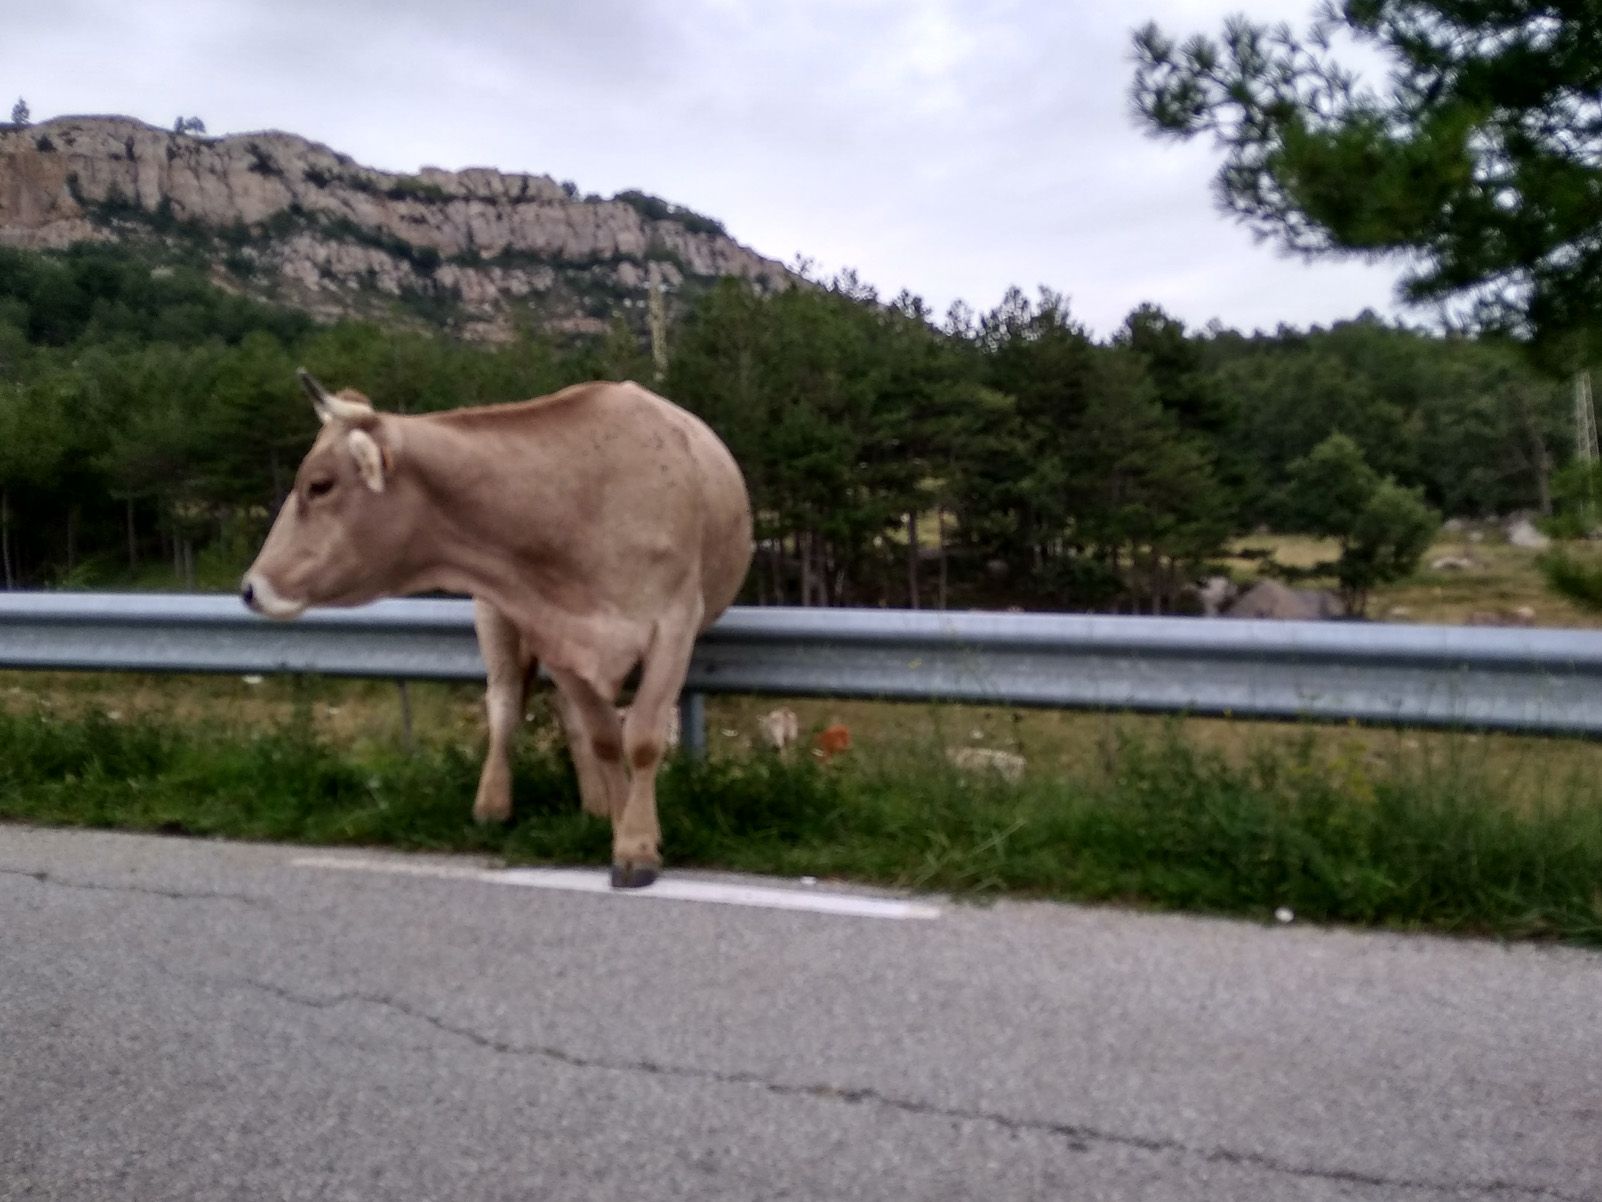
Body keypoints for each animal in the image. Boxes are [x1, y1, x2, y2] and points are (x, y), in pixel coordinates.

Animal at [245, 371, 756, 891]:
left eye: (319, 485)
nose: (250, 588)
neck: (575, 504)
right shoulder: (554, 634)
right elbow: (604, 738)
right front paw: (623, 830)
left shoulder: (673, 625)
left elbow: (642, 739)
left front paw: (636, 846)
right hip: (494, 615)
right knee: (509, 702)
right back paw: (498, 805)